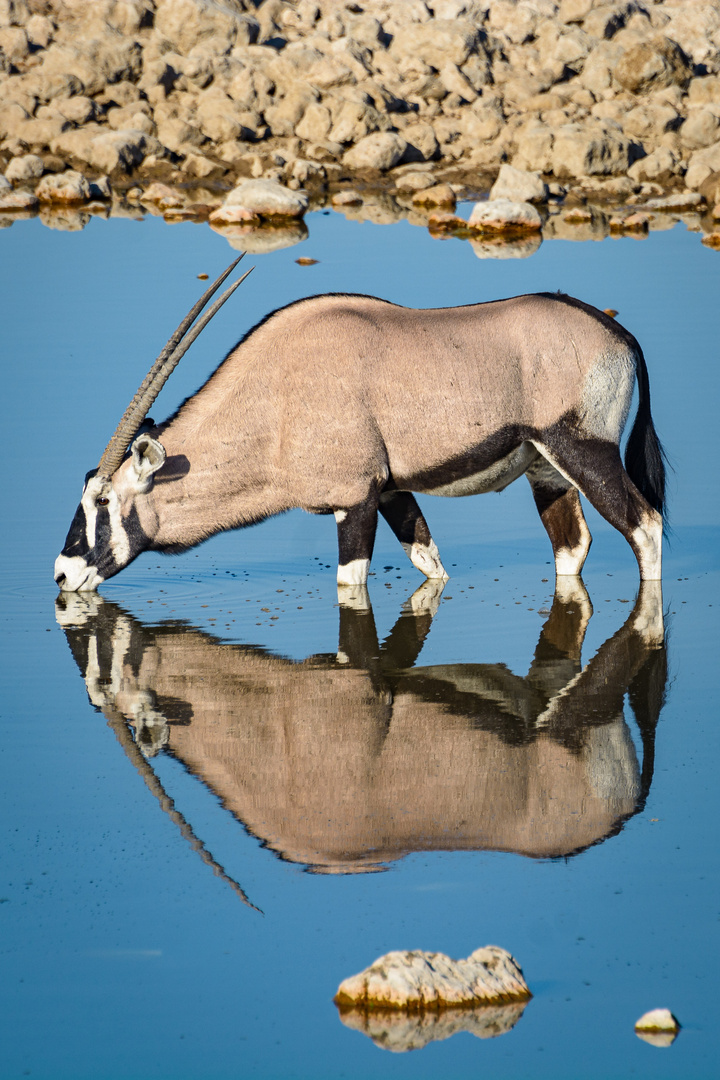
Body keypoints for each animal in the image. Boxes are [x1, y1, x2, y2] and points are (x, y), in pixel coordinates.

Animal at [53, 258, 669, 596]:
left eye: (104, 501)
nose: (62, 574)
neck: (278, 396)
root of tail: (620, 337)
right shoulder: (392, 491)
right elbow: (430, 565)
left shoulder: (355, 500)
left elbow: (350, 586)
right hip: (547, 467)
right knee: (572, 546)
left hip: (585, 450)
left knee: (646, 526)